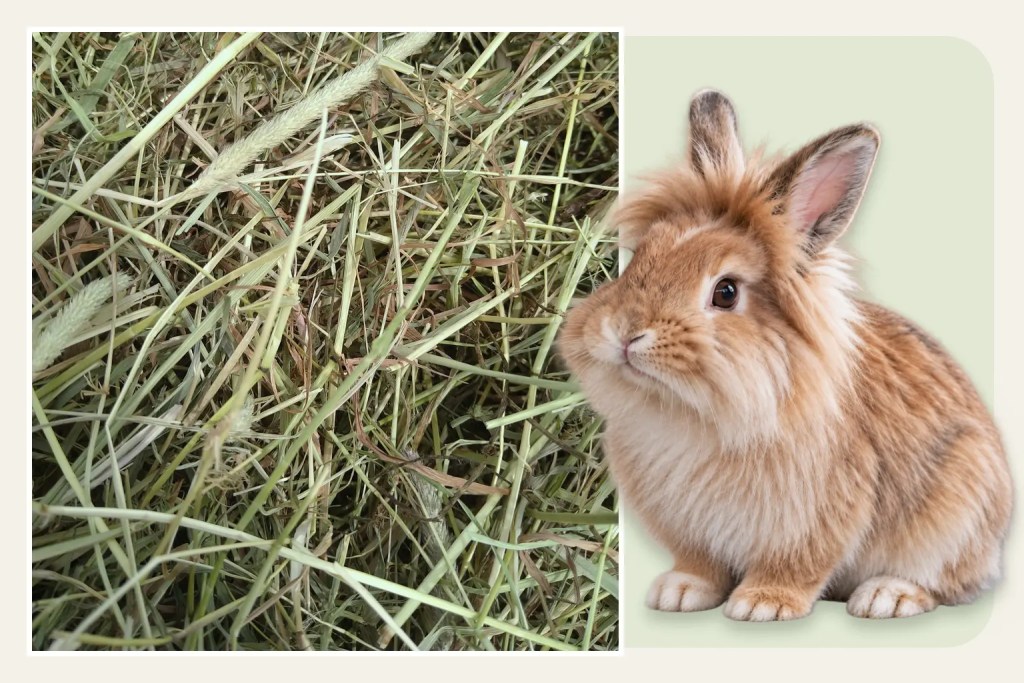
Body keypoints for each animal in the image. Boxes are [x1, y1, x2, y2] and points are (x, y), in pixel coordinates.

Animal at [558, 90, 1013, 621]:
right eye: (641, 258)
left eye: (726, 292)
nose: (625, 333)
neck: (691, 415)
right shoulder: (691, 531)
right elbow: (700, 565)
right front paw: (679, 593)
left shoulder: (818, 515)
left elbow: (797, 565)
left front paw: (762, 606)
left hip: (957, 513)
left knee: (945, 581)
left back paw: (886, 597)